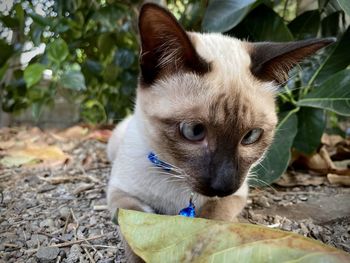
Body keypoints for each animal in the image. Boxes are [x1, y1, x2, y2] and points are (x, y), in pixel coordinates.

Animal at [106, 2, 334, 263]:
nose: (223, 185)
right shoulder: (120, 194)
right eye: (194, 131)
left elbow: (211, 221)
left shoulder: (235, 196)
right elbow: (135, 230)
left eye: (251, 136)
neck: (177, 184)